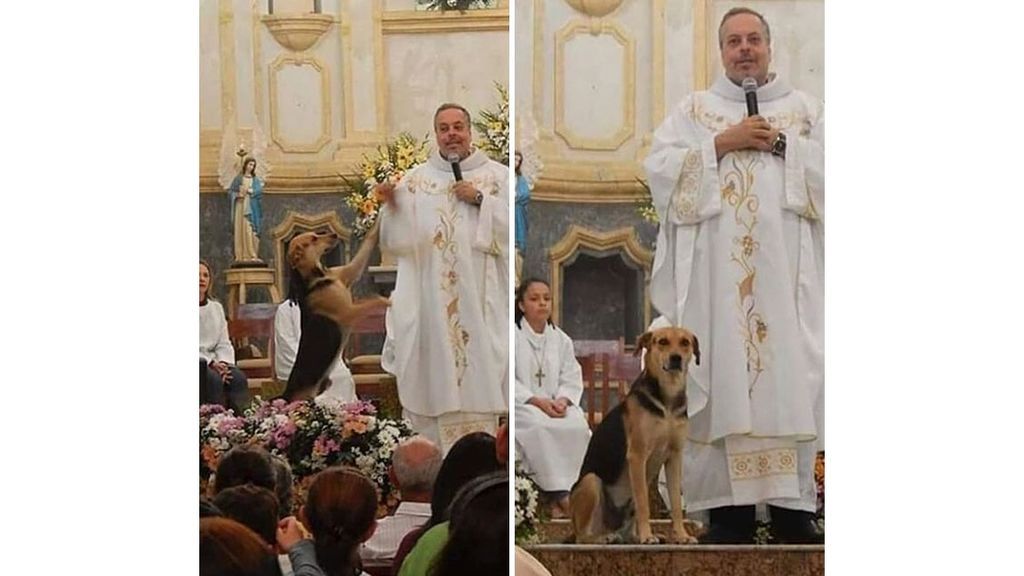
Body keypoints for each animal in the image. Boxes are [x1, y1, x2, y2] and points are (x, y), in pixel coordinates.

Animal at [280, 222, 387, 401]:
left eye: (316, 234)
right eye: (313, 239)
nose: (334, 235)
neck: (319, 277)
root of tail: (285, 393)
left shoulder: (351, 270)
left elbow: (369, 239)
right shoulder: (348, 313)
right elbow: (374, 301)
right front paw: (389, 300)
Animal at [569, 327, 704, 541]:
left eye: (685, 342)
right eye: (662, 342)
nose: (676, 358)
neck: (667, 399)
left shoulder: (674, 457)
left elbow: (675, 502)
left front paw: (682, 535)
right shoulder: (638, 456)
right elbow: (643, 503)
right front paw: (647, 536)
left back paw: (632, 536)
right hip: (590, 482)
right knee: (582, 536)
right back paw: (604, 538)